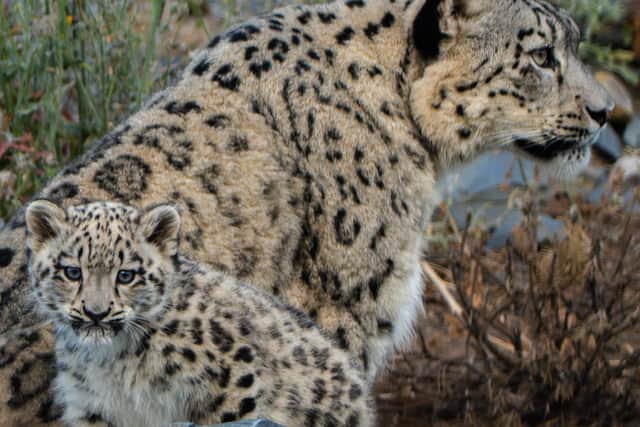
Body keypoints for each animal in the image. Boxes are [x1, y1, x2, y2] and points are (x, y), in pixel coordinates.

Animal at [26, 200, 373, 427]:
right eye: (72, 271)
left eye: (126, 275)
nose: (95, 313)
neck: (111, 362)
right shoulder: (92, 406)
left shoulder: (234, 380)